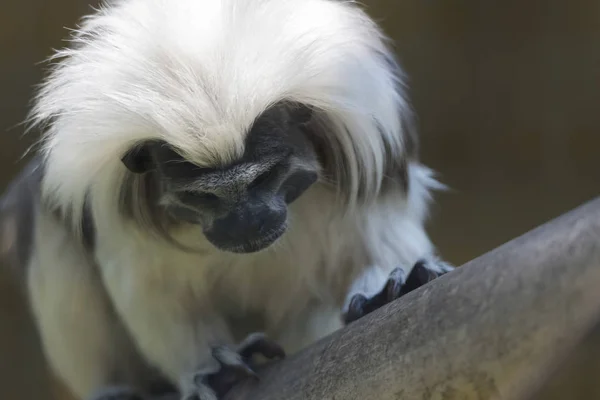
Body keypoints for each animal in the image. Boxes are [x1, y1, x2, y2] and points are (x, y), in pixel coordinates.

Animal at [0, 0, 450, 400]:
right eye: (203, 196)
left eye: (266, 176)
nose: (248, 222)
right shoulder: (116, 213)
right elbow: (156, 298)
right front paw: (211, 370)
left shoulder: (371, 162)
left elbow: (380, 236)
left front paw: (389, 289)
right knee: (46, 220)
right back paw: (118, 390)